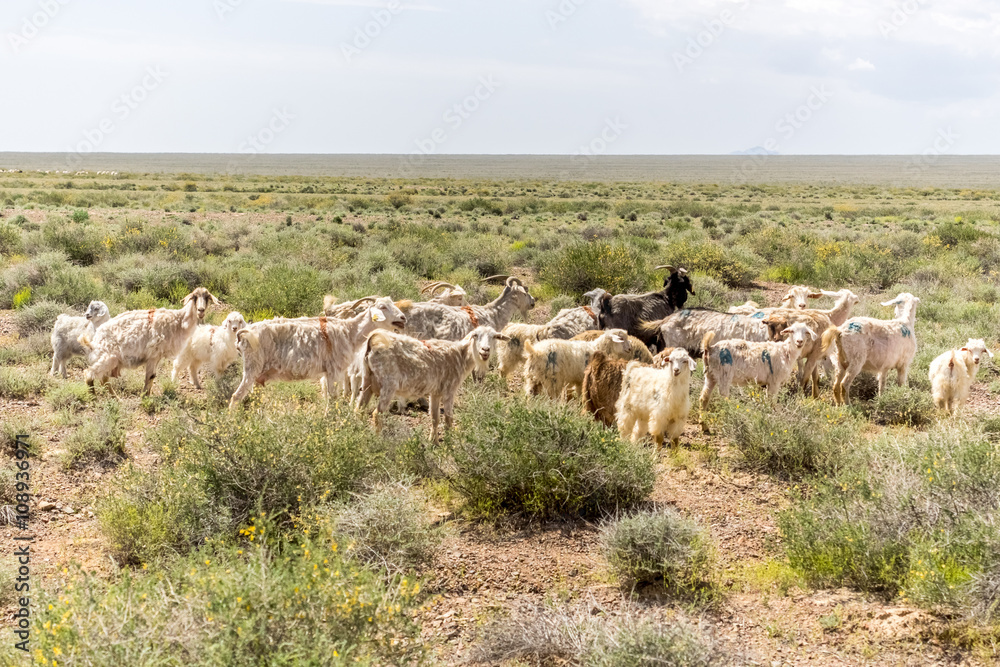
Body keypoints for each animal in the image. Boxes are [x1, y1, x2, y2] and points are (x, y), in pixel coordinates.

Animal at [80, 288, 219, 396]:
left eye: (207, 297)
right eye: (194, 297)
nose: (201, 310)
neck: (178, 321)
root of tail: (94, 340)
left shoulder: (156, 356)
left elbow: (151, 377)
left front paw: (146, 395)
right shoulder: (154, 354)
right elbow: (150, 377)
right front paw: (145, 397)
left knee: (103, 379)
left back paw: (115, 398)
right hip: (109, 358)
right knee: (89, 373)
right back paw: (94, 397)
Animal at [230, 296, 406, 410]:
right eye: (382, 307)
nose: (403, 318)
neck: (349, 332)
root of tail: (244, 334)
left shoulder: (326, 373)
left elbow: (328, 398)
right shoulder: (334, 371)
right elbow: (333, 400)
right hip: (252, 368)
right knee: (235, 397)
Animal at [358, 326, 508, 440]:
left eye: (494, 337)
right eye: (476, 335)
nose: (485, 350)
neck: (461, 355)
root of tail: (374, 339)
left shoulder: (435, 392)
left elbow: (435, 418)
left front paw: (433, 442)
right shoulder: (449, 390)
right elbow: (448, 418)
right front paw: (449, 443)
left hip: (367, 381)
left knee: (359, 409)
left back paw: (357, 433)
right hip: (388, 385)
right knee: (377, 414)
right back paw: (378, 441)